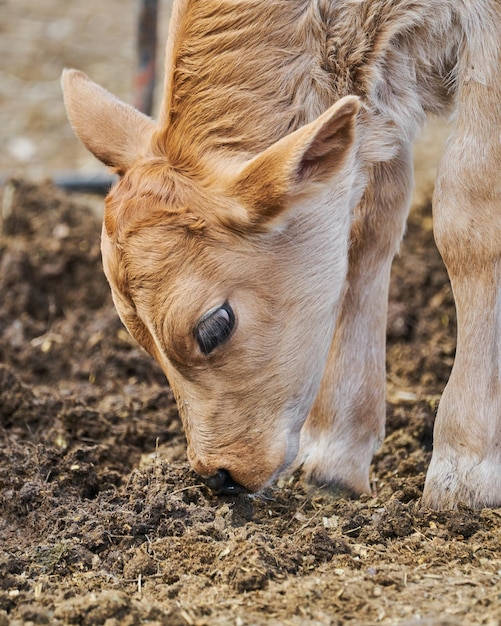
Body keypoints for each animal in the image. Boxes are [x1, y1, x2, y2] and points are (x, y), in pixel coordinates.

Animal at [62, 0, 500, 508]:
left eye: (214, 326)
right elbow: (368, 224)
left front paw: (466, 467)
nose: (218, 475)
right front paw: (336, 456)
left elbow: (470, 211)